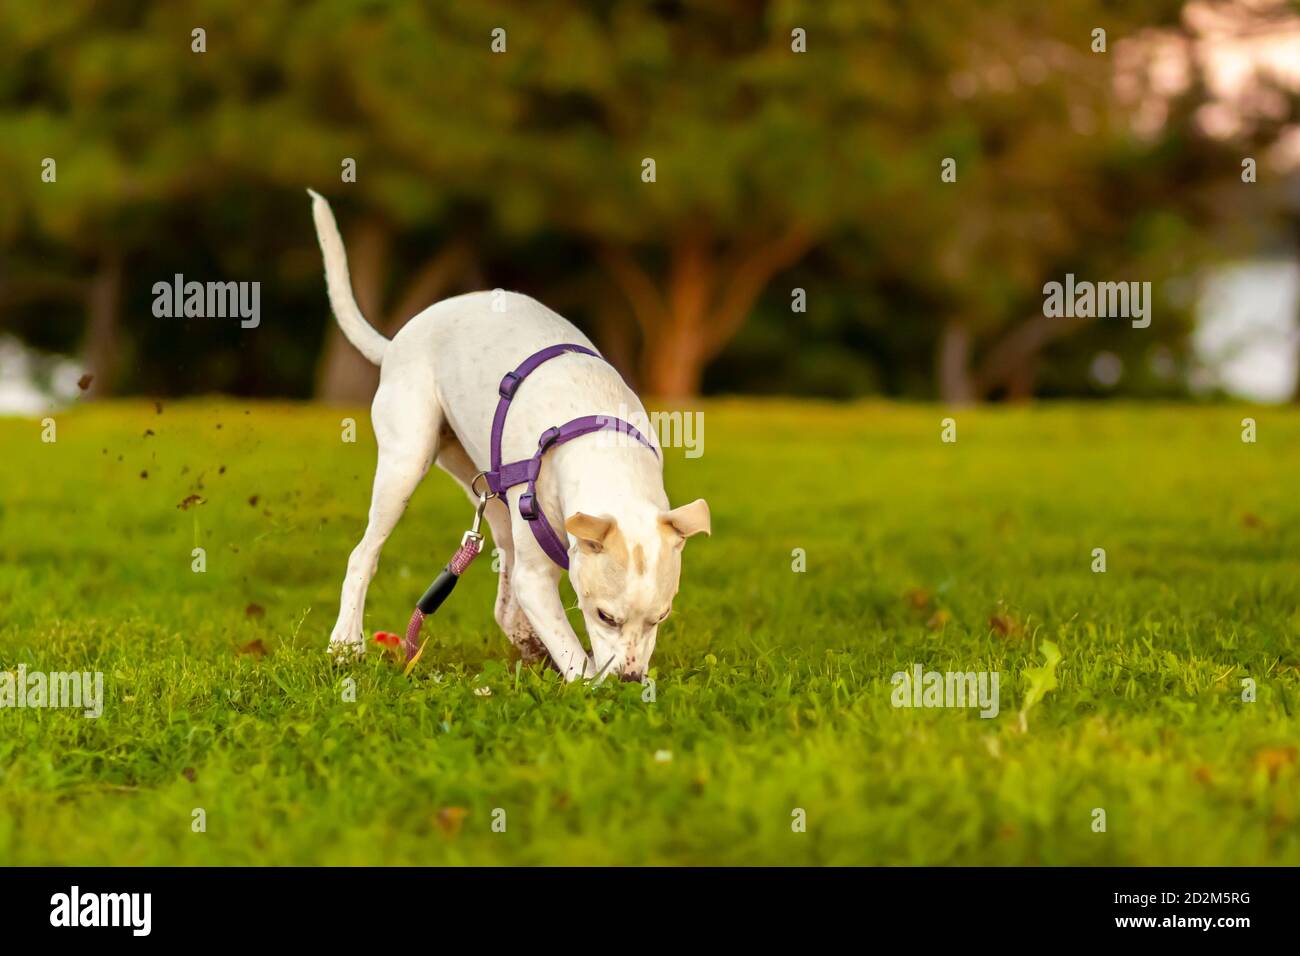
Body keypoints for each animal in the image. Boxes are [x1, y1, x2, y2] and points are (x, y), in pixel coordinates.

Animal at [306, 191, 712, 681]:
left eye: (661, 617)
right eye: (605, 616)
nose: (632, 680)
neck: (601, 447)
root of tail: (399, 339)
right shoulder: (535, 580)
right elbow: (573, 653)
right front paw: (588, 682)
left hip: (487, 489)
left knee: (502, 589)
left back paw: (528, 644)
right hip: (406, 462)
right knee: (363, 554)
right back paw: (345, 643)